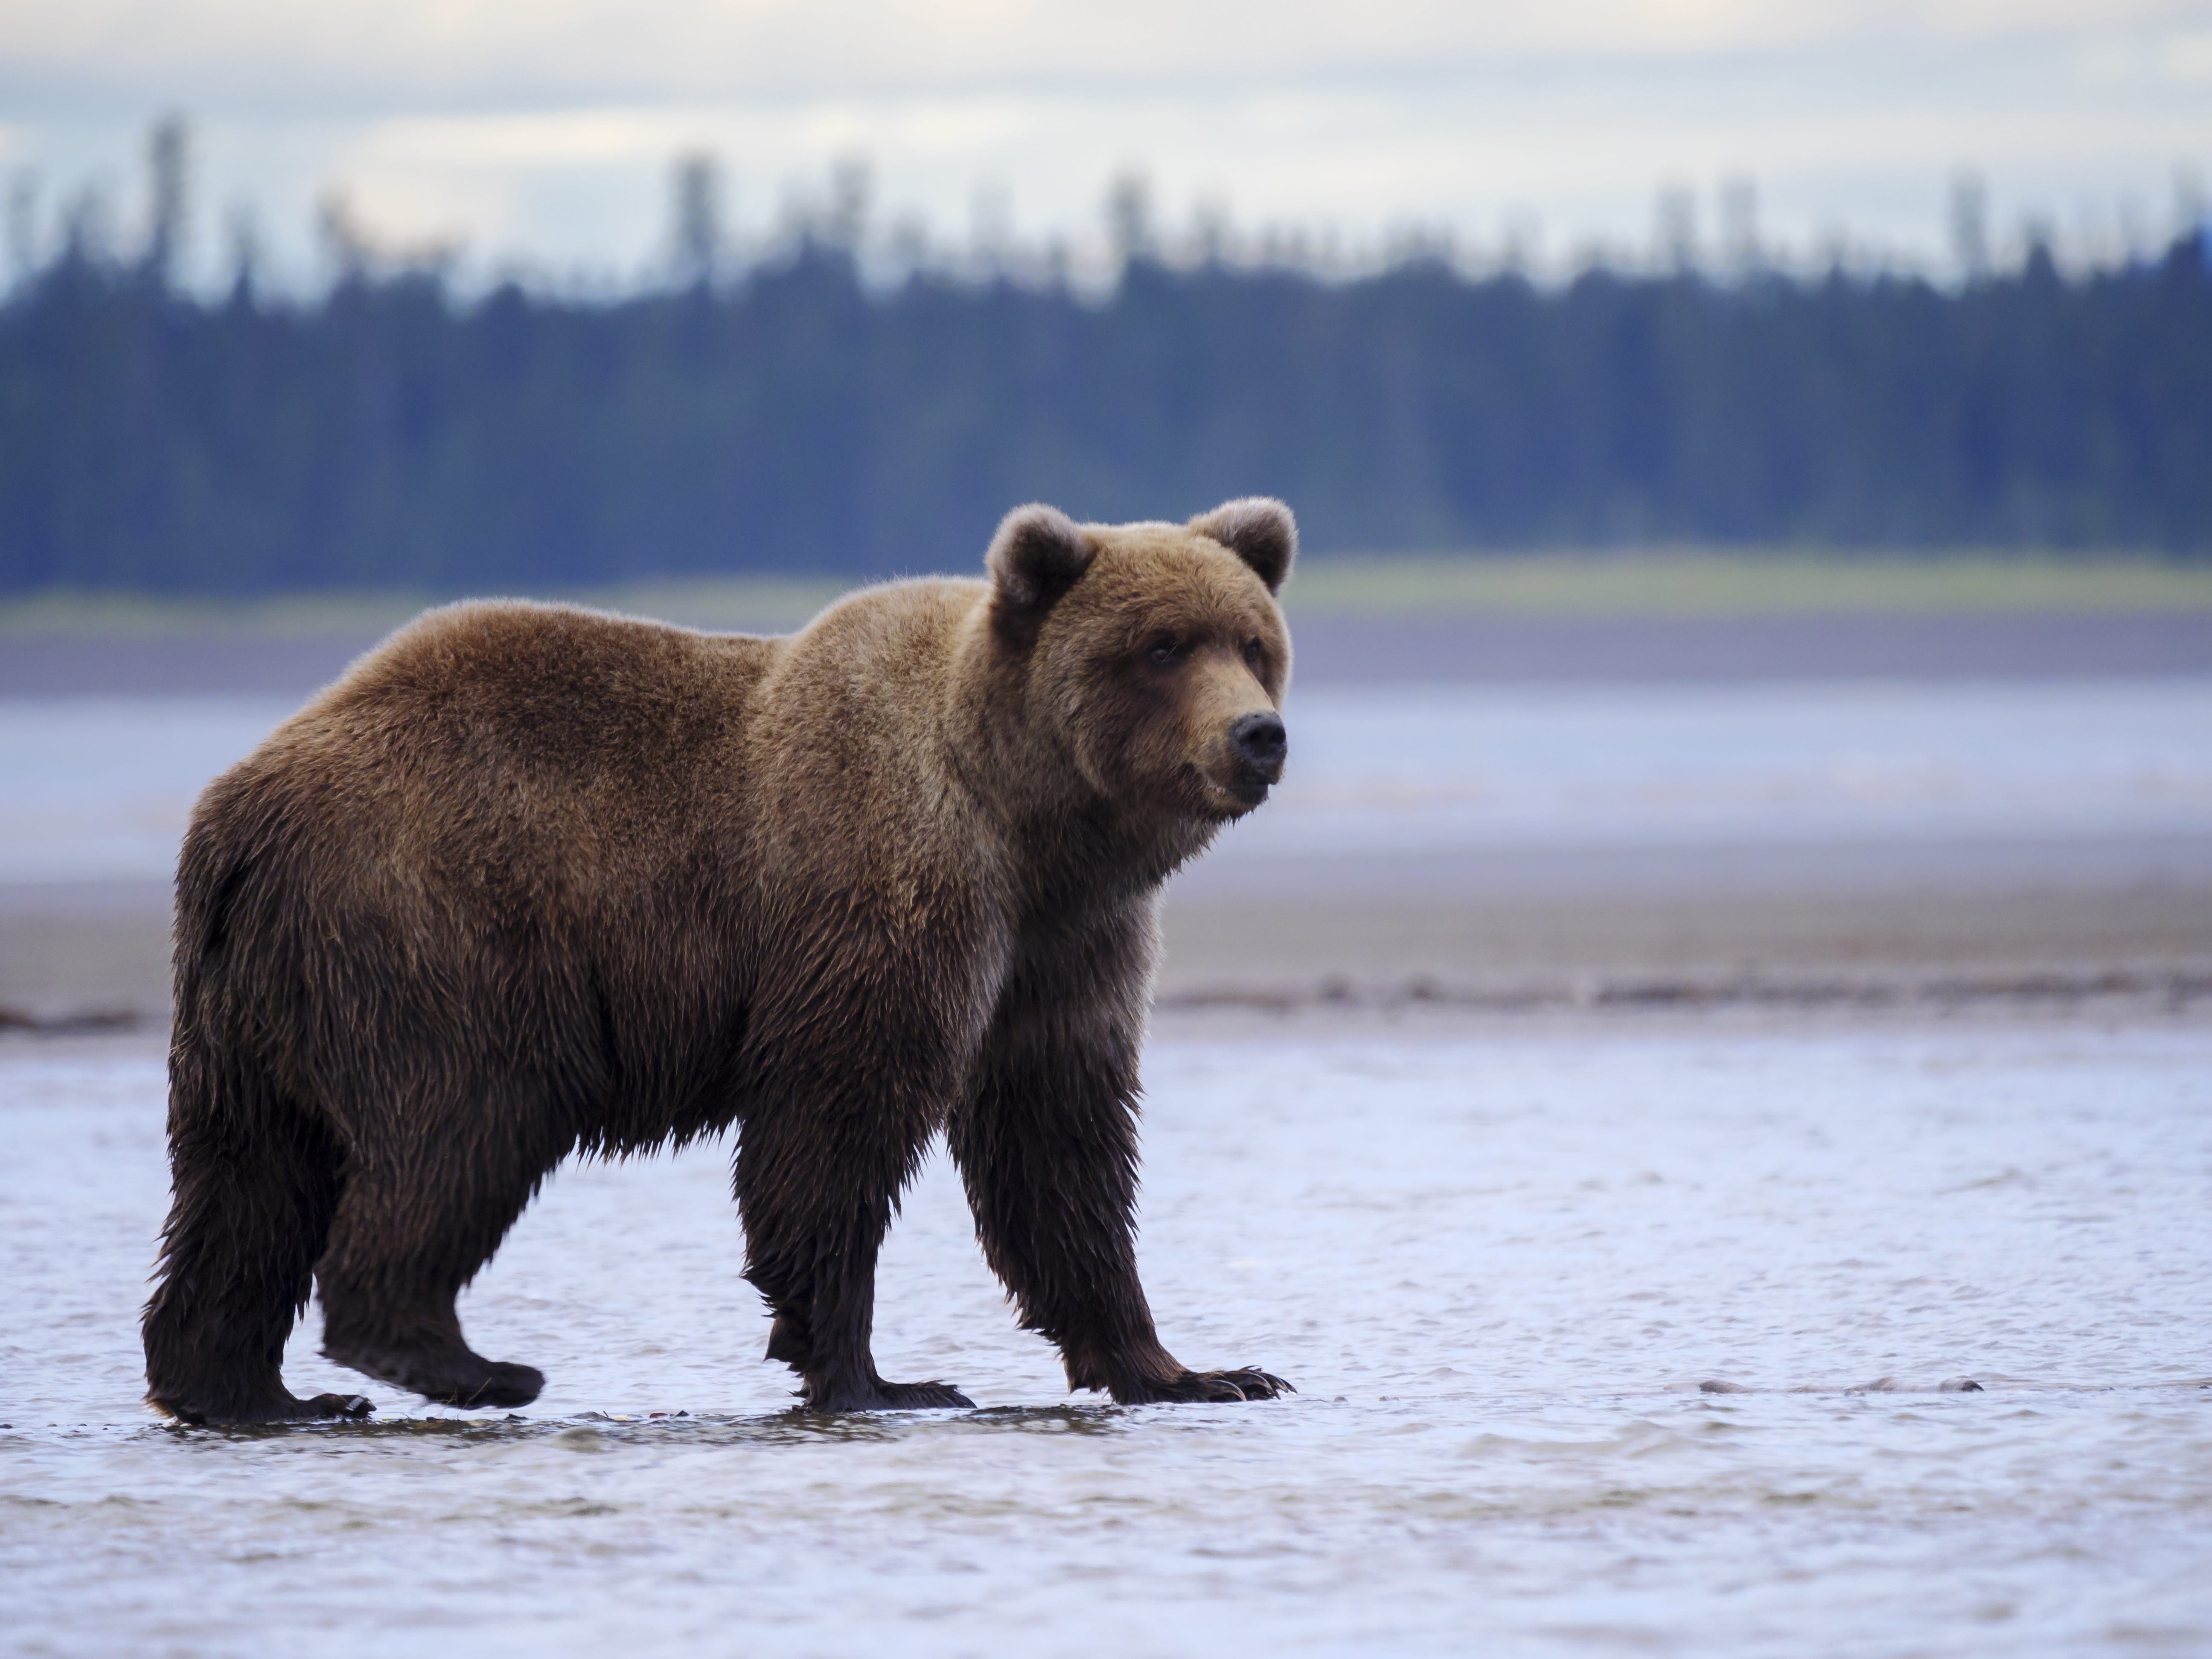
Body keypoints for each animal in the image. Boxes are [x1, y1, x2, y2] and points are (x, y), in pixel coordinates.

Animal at [143, 498, 1292, 1433]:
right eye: (1160, 647)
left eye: (1252, 640)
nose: (1257, 735)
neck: (1027, 821)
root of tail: (239, 806)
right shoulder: (887, 892)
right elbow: (836, 1124)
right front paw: (882, 1378)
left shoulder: (1067, 945)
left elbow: (1059, 1145)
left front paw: (1199, 1370)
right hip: (438, 928)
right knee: (464, 1120)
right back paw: (466, 1363)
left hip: (255, 998)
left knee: (247, 1179)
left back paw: (250, 1391)